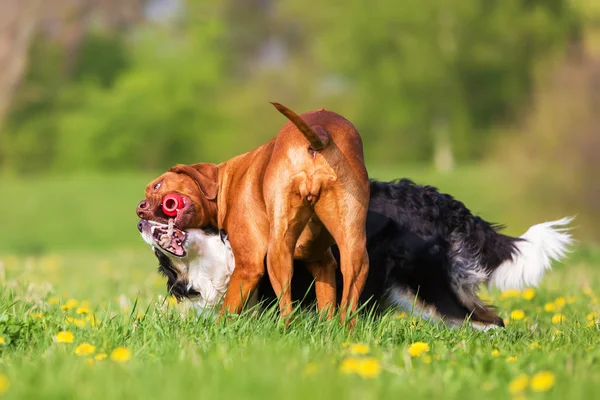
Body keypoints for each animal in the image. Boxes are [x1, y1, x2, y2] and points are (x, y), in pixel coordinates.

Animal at [137, 103, 370, 322]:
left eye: (157, 185)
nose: (140, 208)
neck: (225, 185)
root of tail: (320, 130)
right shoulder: (323, 263)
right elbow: (327, 307)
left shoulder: (248, 265)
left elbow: (227, 310)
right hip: (353, 250)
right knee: (349, 302)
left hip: (278, 252)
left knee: (286, 308)